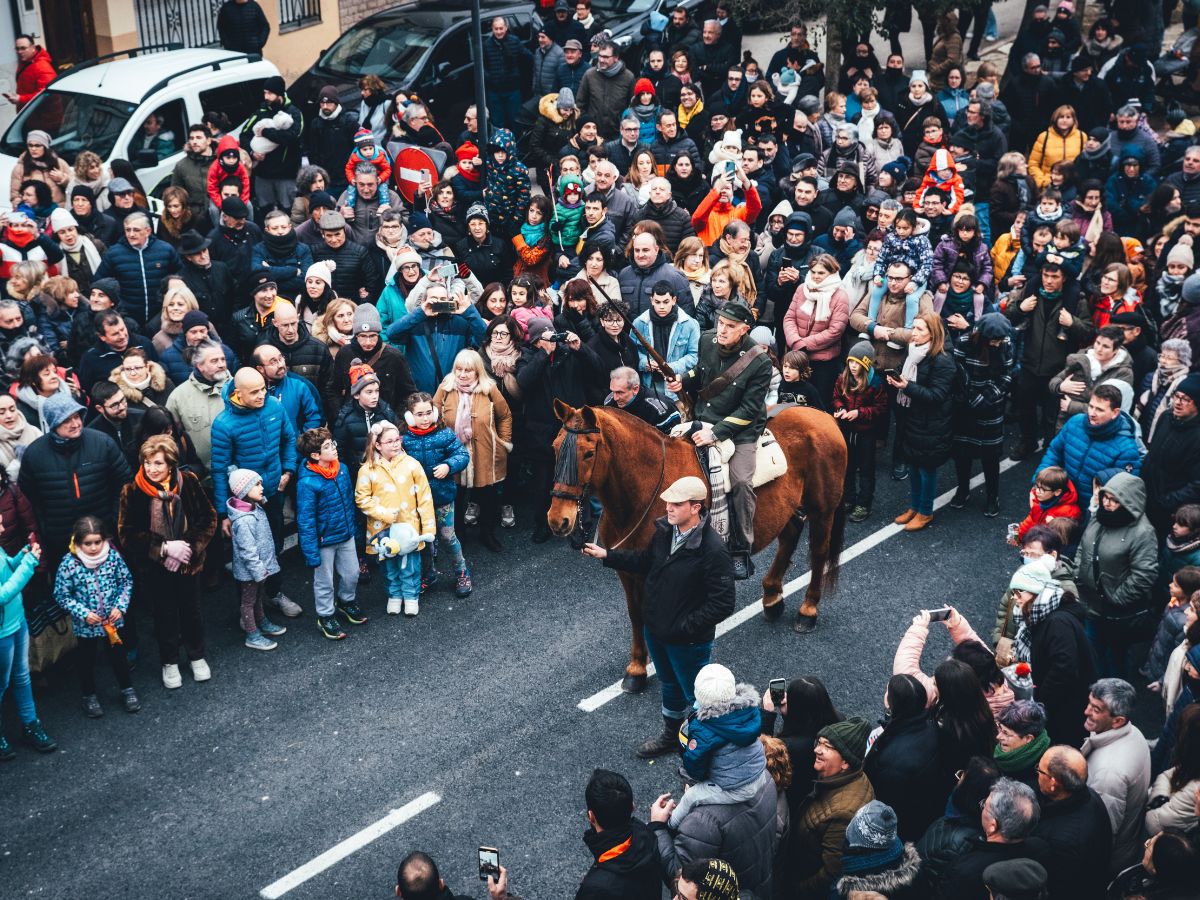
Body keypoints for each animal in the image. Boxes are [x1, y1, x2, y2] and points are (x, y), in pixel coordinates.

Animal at [549, 405, 849, 696]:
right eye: (555, 447)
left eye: (588, 453)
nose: (557, 520)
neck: (645, 491)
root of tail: (822, 416)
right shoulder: (627, 570)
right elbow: (636, 615)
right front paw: (636, 669)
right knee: (790, 536)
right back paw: (773, 597)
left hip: (823, 510)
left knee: (819, 553)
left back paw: (807, 610)